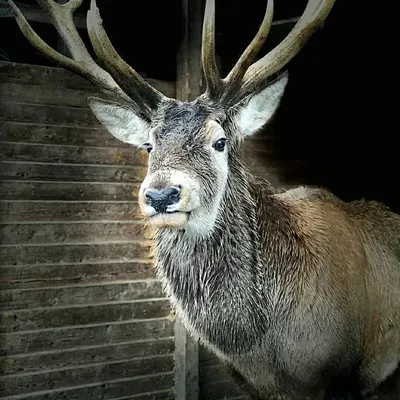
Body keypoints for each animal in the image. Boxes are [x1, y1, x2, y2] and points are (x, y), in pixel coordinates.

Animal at [7, 0, 398, 398]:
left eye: (220, 141)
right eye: (149, 145)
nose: (161, 194)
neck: (267, 350)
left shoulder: (342, 375)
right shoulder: (248, 383)